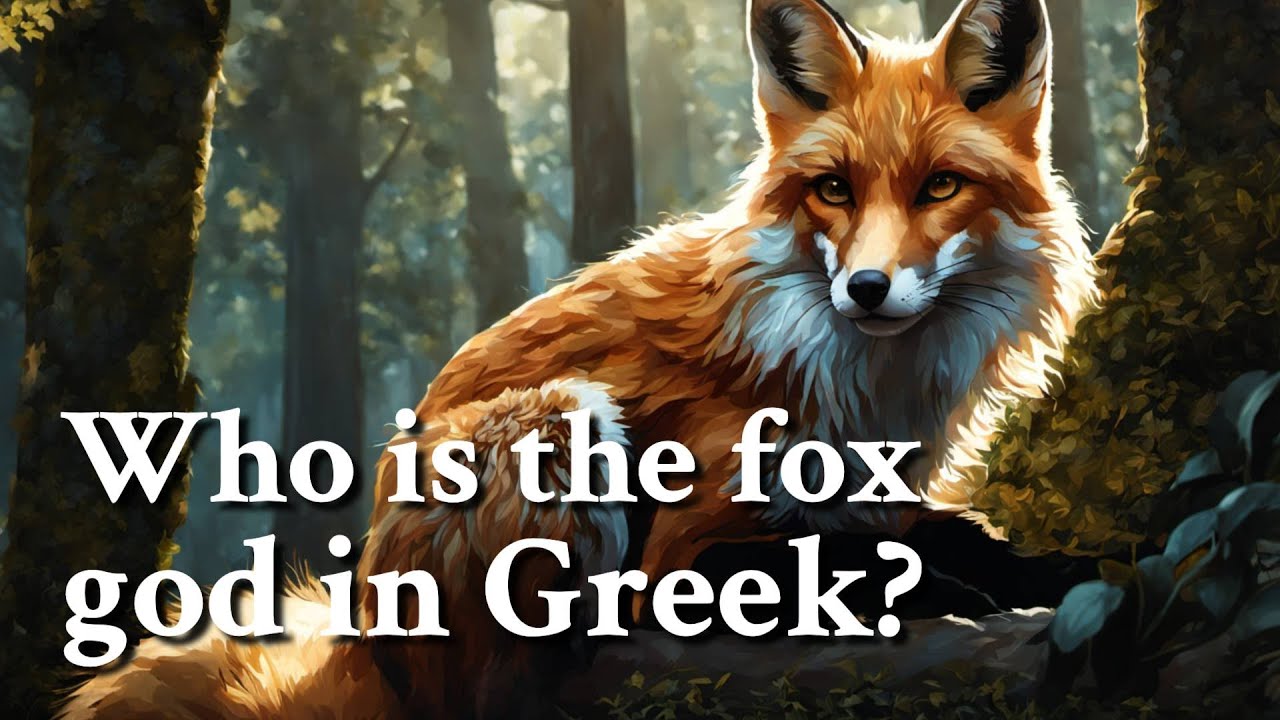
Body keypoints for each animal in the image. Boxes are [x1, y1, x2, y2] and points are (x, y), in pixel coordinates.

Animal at [59, 0, 1096, 717]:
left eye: (941, 186)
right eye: (834, 190)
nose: (868, 290)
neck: (860, 386)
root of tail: (360, 635)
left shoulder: (872, 498)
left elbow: (954, 537)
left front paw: (1049, 573)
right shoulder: (691, 544)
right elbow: (830, 564)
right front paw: (934, 595)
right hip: (562, 418)